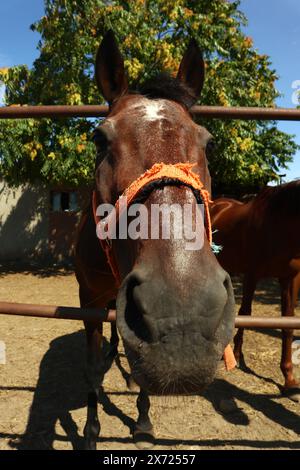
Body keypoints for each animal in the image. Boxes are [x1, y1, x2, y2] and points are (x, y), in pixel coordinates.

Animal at [74, 30, 234, 452]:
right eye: (99, 139)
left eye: (208, 142)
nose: (182, 318)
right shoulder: (89, 302)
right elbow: (90, 370)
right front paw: (91, 430)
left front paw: (143, 423)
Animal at [210, 182, 300, 402]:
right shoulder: (252, 274)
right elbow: (246, 313)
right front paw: (236, 353)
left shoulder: (290, 279)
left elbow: (288, 324)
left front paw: (289, 380)